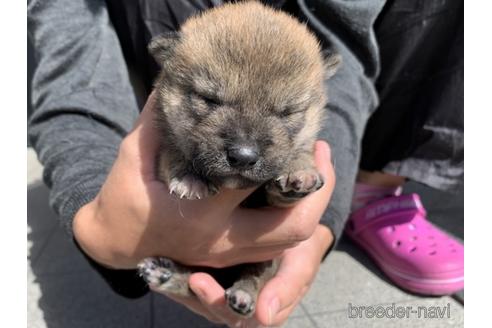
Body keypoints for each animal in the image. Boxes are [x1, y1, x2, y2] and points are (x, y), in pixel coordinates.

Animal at [136, 0, 340, 318]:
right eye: (208, 99)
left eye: (288, 112)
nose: (243, 156)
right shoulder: (164, 146)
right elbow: (174, 153)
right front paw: (190, 178)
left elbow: (296, 163)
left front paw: (300, 171)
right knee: (193, 278)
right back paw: (166, 275)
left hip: (267, 258)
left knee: (254, 274)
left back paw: (243, 293)